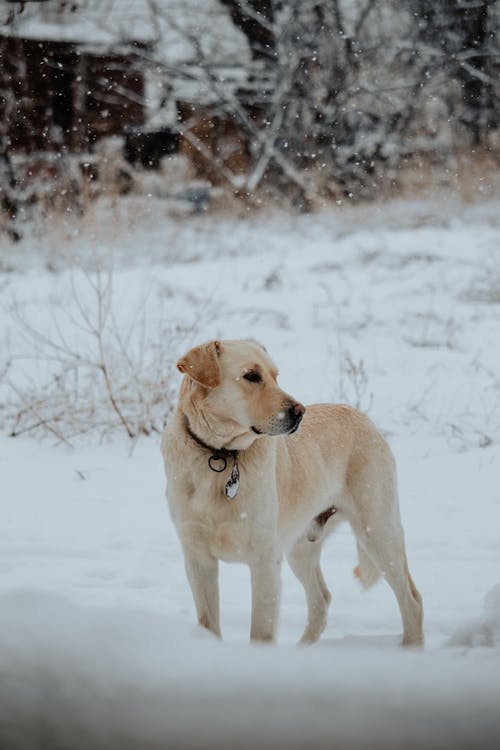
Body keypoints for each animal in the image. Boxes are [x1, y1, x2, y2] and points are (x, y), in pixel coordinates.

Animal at [162, 340, 424, 648]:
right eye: (252, 376)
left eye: (276, 376)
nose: (300, 411)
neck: (221, 456)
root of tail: (362, 416)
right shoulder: (198, 559)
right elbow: (209, 625)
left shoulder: (265, 561)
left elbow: (260, 632)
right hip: (300, 548)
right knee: (322, 599)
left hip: (378, 532)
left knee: (412, 600)